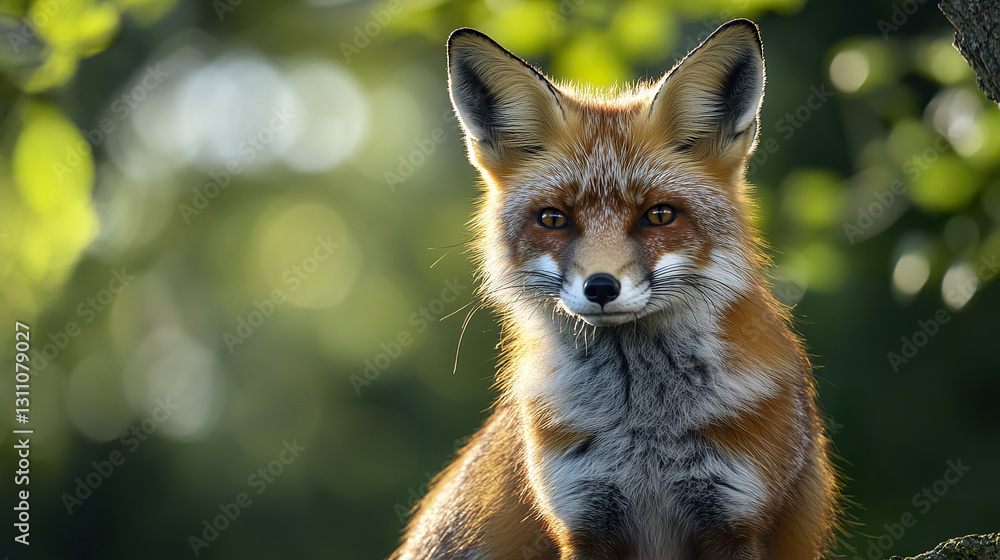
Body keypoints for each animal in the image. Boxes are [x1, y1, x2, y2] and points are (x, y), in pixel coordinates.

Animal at [390, 19, 839, 560]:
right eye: (553, 219)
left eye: (659, 215)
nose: (601, 287)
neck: (642, 426)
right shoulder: (583, 523)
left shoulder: (737, 521)